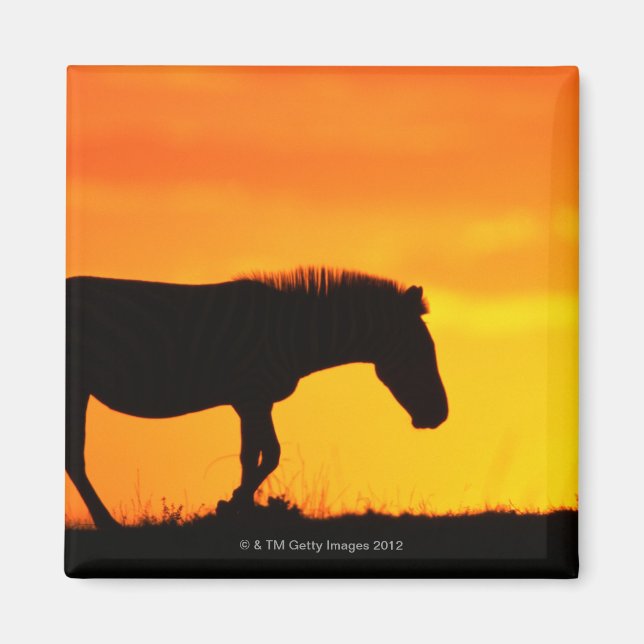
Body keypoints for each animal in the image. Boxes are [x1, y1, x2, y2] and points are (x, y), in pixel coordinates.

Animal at [66, 267, 448, 528]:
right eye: (422, 353)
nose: (440, 416)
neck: (292, 335)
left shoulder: (251, 401)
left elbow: (251, 457)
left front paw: (240, 511)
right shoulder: (253, 395)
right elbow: (270, 455)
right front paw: (230, 505)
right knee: (76, 458)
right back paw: (108, 523)